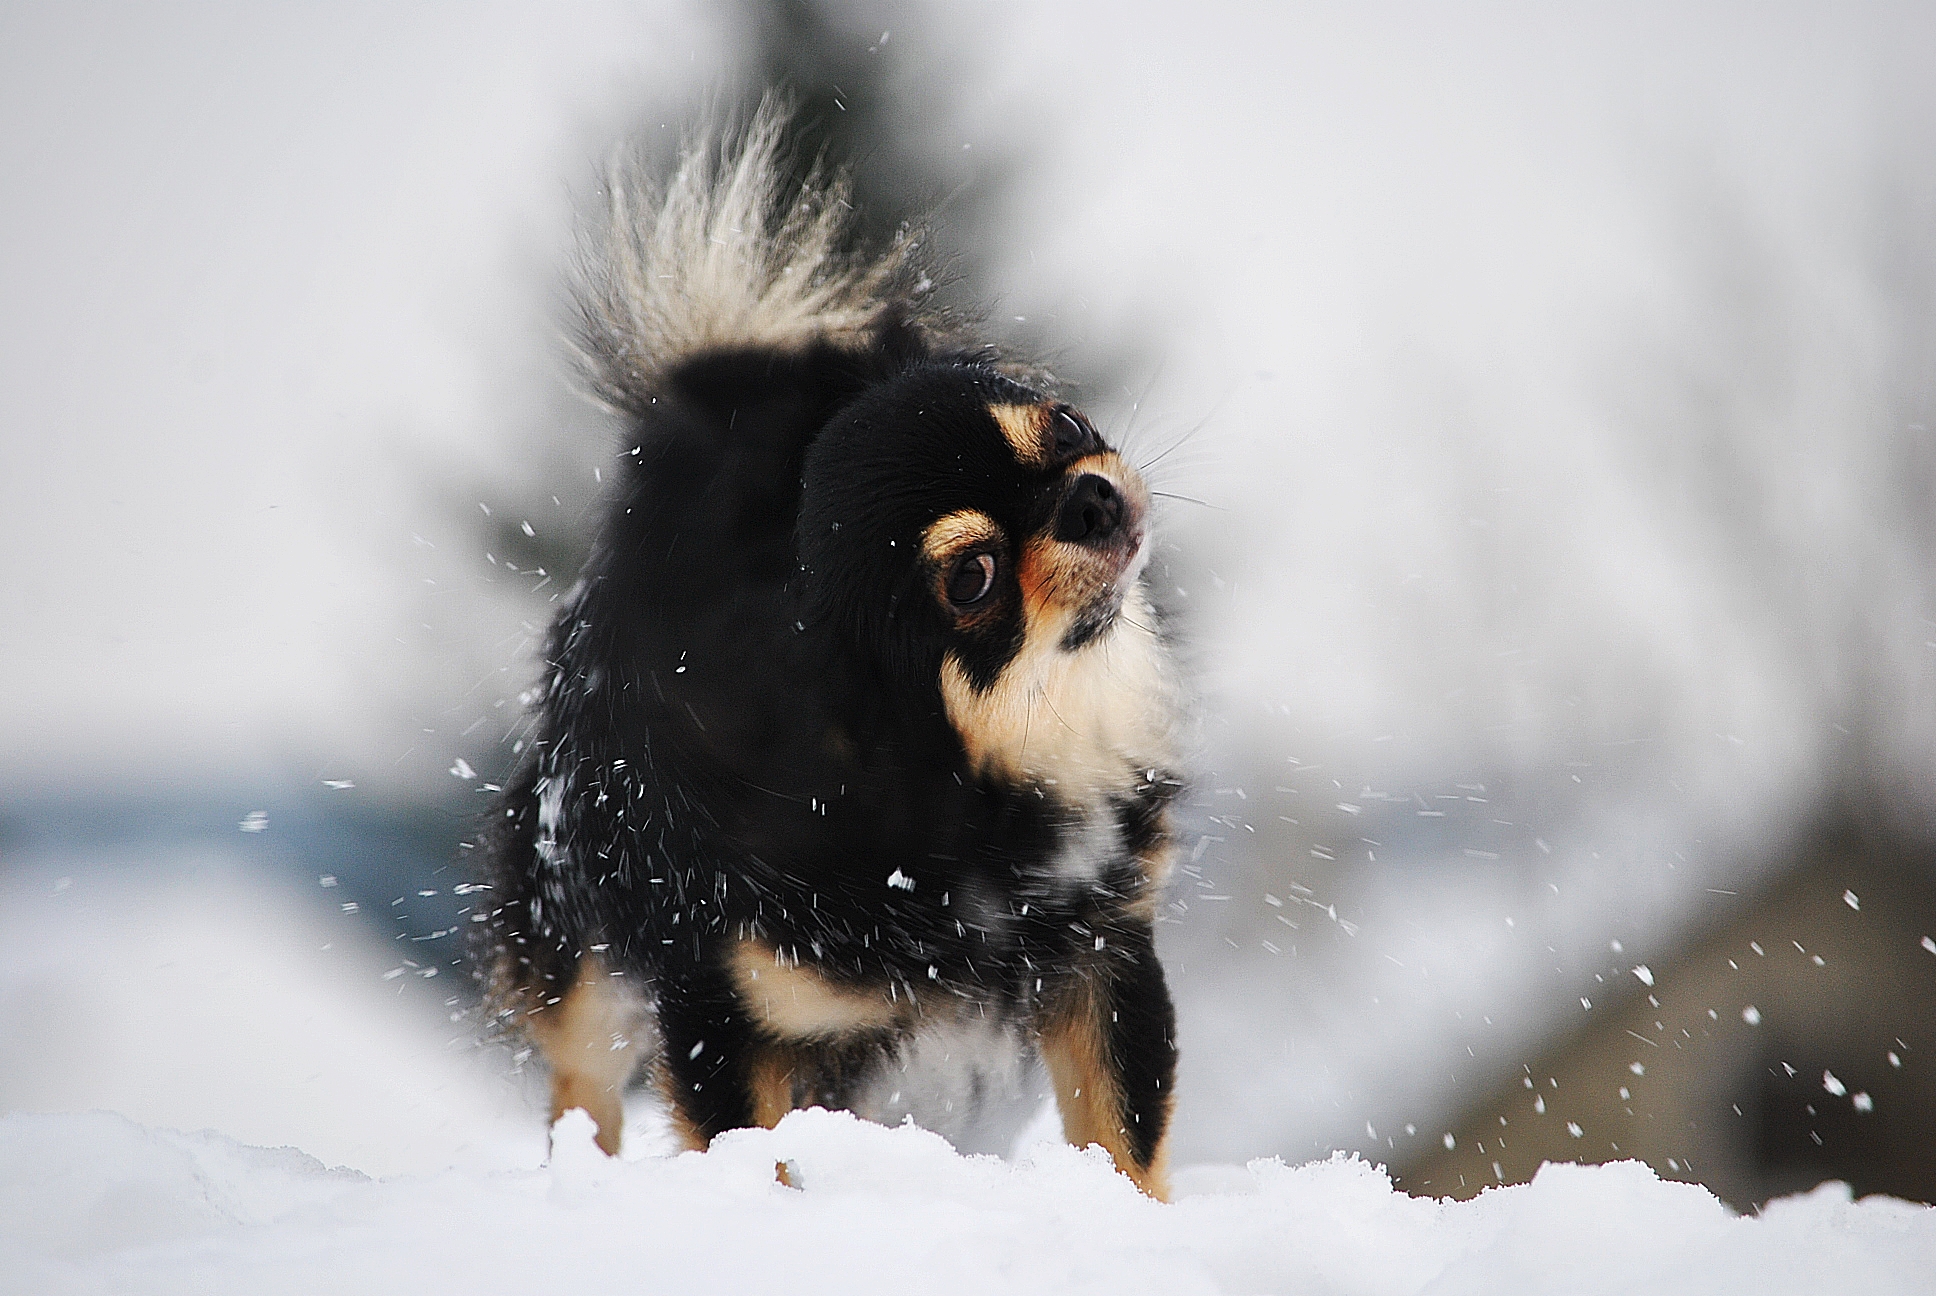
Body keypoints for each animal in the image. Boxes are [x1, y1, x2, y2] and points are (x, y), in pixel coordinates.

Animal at [476, 106, 1184, 1201]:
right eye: (972, 577)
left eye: (1062, 424)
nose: (1092, 497)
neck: (976, 784)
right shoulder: (725, 1009)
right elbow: (755, 1154)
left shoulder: (1100, 955)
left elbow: (1122, 1133)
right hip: (575, 908)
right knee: (581, 1078)